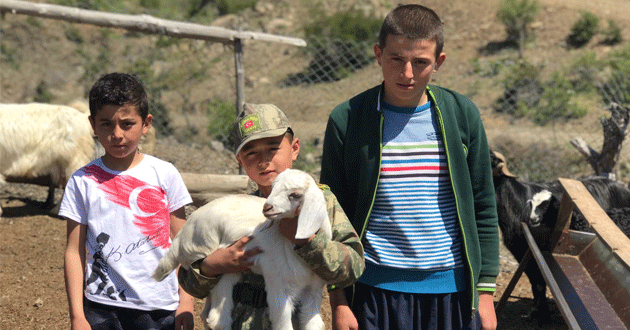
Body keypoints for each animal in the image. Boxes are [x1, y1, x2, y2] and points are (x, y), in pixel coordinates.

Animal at [153, 169, 334, 328]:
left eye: (295, 194)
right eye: (273, 187)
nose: (267, 208)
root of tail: (181, 236)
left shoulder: (313, 291)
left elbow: (315, 325)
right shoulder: (278, 285)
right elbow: (283, 325)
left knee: (207, 313)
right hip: (218, 261)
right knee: (217, 319)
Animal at [492, 151, 630, 320]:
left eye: (492, 161)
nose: (533, 219)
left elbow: (539, 280)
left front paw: (543, 312)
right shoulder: (521, 250)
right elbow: (535, 280)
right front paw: (537, 309)